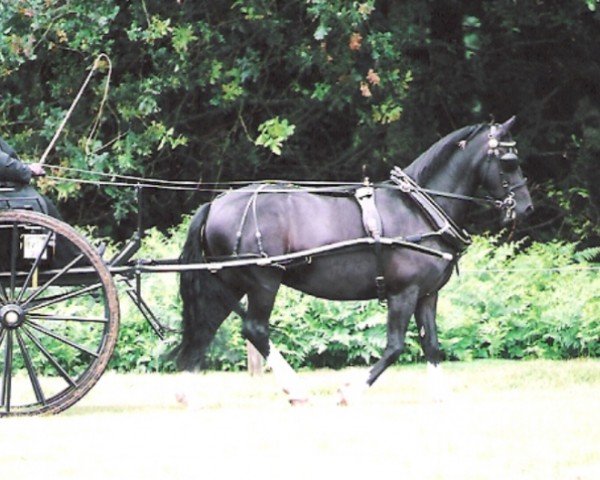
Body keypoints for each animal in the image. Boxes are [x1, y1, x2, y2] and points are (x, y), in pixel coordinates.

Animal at [176, 118, 532, 404]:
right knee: (254, 329)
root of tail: (215, 204)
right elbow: (395, 346)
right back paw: (296, 390)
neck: (419, 209)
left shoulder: (427, 294)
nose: (526, 207)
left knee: (204, 328)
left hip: (228, 282)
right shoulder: (403, 293)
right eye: (509, 161)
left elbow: (431, 344)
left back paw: (184, 392)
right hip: (263, 281)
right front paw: (350, 392)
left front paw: (442, 394)